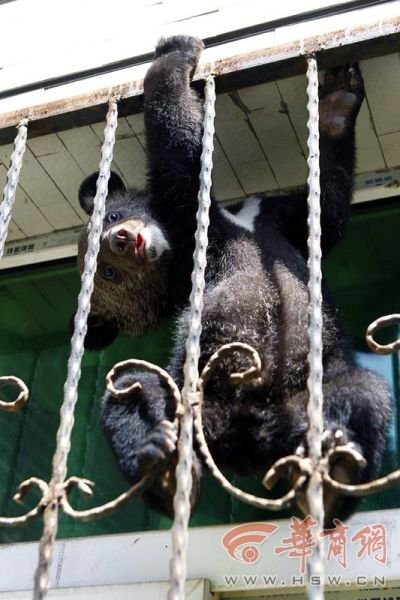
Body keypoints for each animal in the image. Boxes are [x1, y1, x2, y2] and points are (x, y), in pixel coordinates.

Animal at [77, 37, 390, 524]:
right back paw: (162, 470)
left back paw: (331, 475)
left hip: (309, 397)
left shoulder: (274, 217)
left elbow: (327, 213)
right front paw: (174, 52)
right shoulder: (192, 232)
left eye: (111, 217)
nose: (122, 241)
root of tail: (248, 444)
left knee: (363, 395)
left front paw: (337, 101)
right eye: (108, 271)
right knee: (132, 387)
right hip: (190, 400)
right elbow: (181, 157)